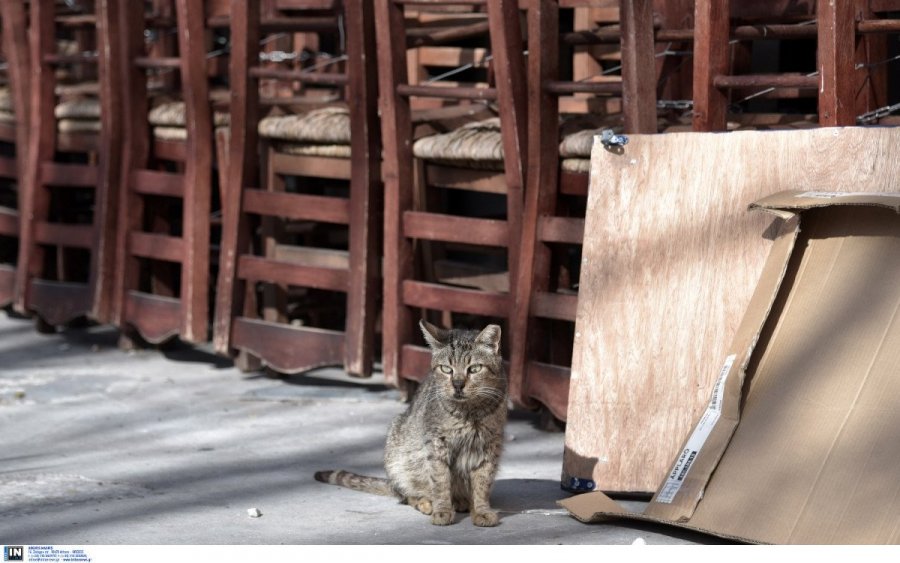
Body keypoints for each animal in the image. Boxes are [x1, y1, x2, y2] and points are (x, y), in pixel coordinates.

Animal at [314, 322, 510, 528]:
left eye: (474, 369)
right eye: (446, 369)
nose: (457, 384)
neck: (469, 412)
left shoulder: (490, 445)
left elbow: (482, 483)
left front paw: (481, 511)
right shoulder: (436, 444)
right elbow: (440, 481)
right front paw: (442, 510)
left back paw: (462, 501)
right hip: (397, 460)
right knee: (407, 496)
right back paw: (427, 503)